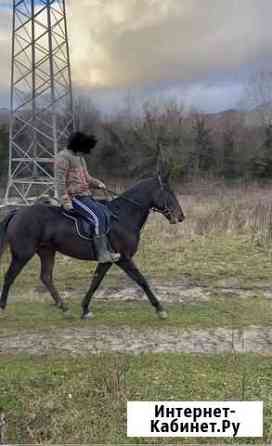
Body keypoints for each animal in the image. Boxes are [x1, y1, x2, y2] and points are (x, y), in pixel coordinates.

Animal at [0, 171, 185, 320]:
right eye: (169, 192)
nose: (181, 217)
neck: (123, 216)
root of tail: (18, 212)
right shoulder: (123, 259)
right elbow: (142, 281)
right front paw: (160, 309)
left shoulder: (107, 261)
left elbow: (95, 282)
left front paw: (85, 309)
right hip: (23, 254)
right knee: (9, 277)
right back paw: (3, 309)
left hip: (46, 252)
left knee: (46, 277)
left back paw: (65, 309)